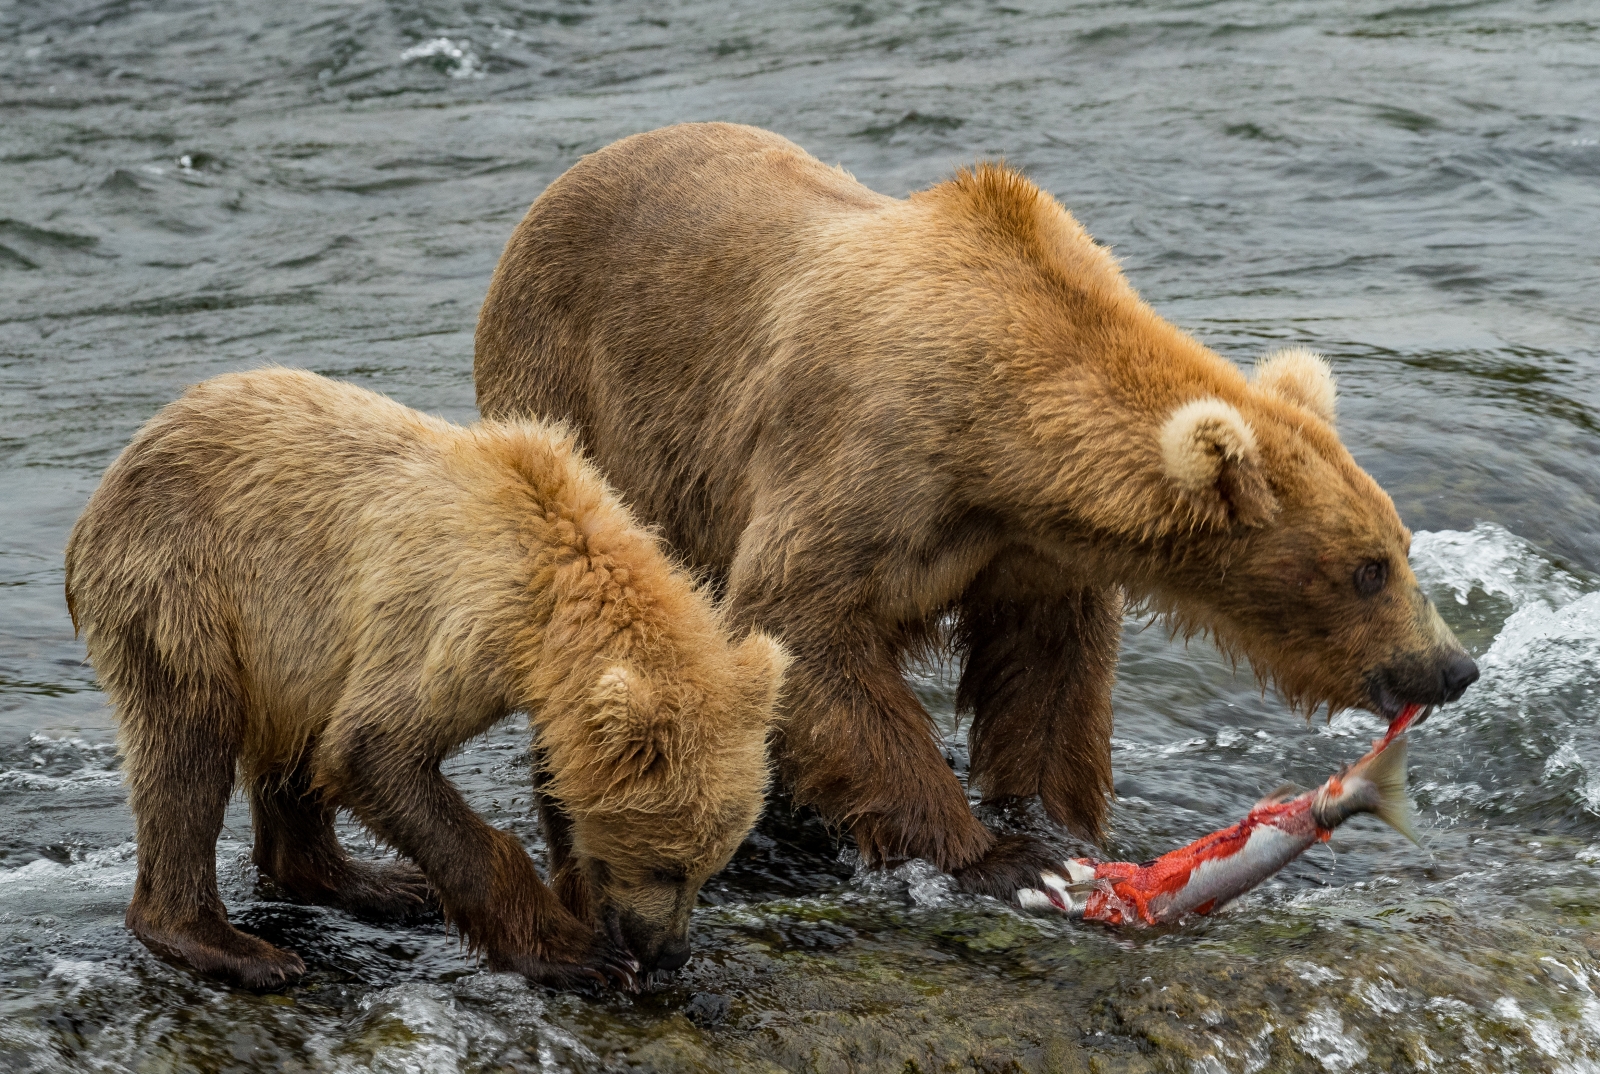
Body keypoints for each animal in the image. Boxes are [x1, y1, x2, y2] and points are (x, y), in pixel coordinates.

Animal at [470, 124, 1472, 896]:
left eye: (1402, 547)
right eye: (1367, 570)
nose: (1451, 666)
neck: (996, 436)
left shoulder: (1032, 550)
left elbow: (1049, 671)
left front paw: (1058, 825)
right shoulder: (865, 461)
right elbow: (801, 621)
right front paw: (1007, 860)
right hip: (577, 398)